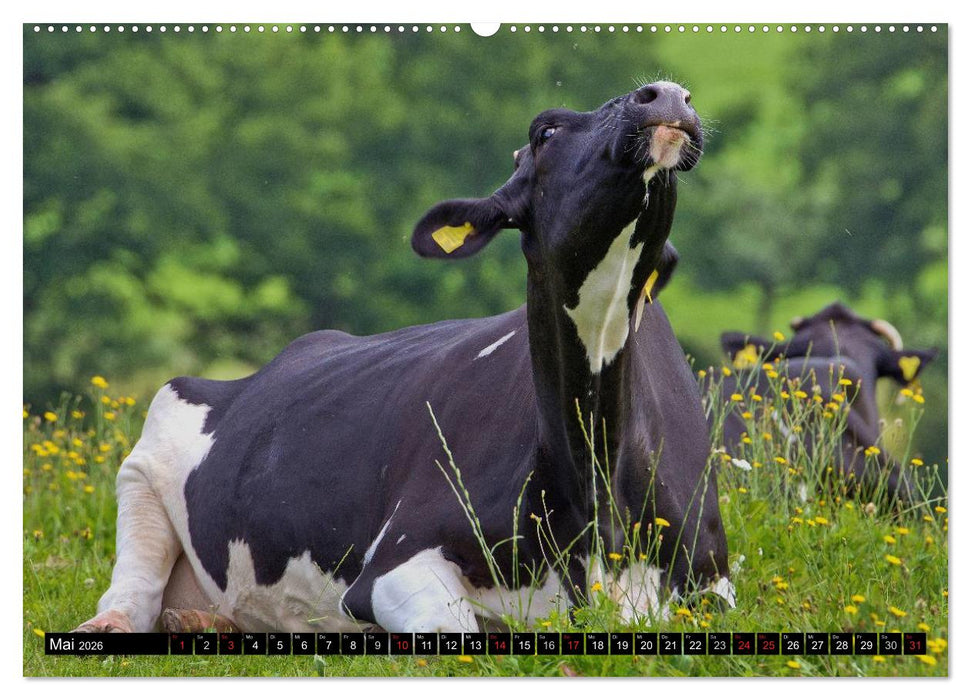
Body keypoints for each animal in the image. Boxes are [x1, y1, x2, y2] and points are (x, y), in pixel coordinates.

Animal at [74, 81, 733, 635]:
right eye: (545, 130)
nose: (666, 93)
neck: (594, 477)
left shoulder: (712, 580)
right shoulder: (391, 564)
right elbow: (457, 628)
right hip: (145, 456)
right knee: (132, 589)